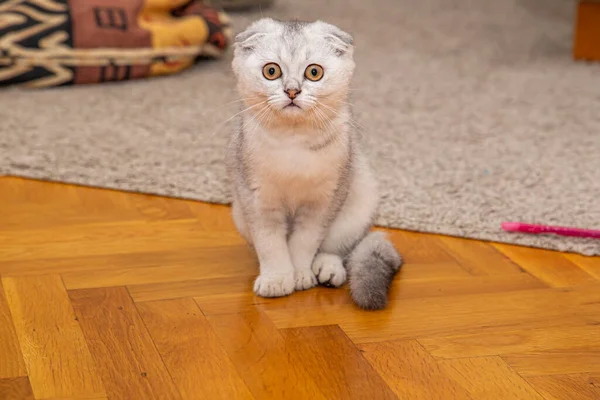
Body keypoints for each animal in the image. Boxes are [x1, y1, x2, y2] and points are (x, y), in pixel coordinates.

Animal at [225, 17, 404, 310]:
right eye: (271, 71)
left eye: (314, 72)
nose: (292, 91)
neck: (293, 143)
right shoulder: (257, 200)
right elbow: (270, 245)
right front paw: (277, 279)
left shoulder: (323, 202)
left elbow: (304, 243)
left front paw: (299, 274)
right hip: (239, 214)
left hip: (358, 204)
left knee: (337, 249)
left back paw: (328, 270)